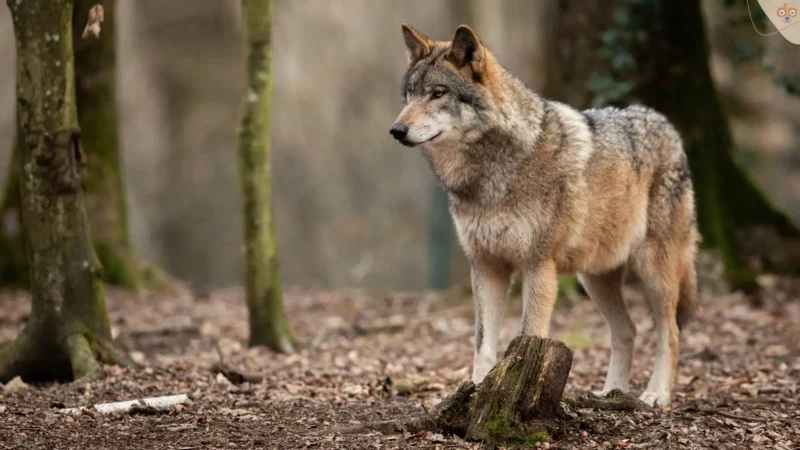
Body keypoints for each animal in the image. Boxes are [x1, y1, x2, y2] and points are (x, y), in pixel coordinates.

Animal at [390, 24, 699, 407]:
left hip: (654, 273)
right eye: (409, 95)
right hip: (594, 278)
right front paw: (475, 393)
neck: (490, 175)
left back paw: (656, 394)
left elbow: (527, 336)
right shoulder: (487, 267)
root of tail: (665, 123)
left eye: (437, 94)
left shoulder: (538, 266)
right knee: (627, 330)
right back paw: (610, 393)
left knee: (670, 333)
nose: (396, 131)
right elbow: (482, 345)